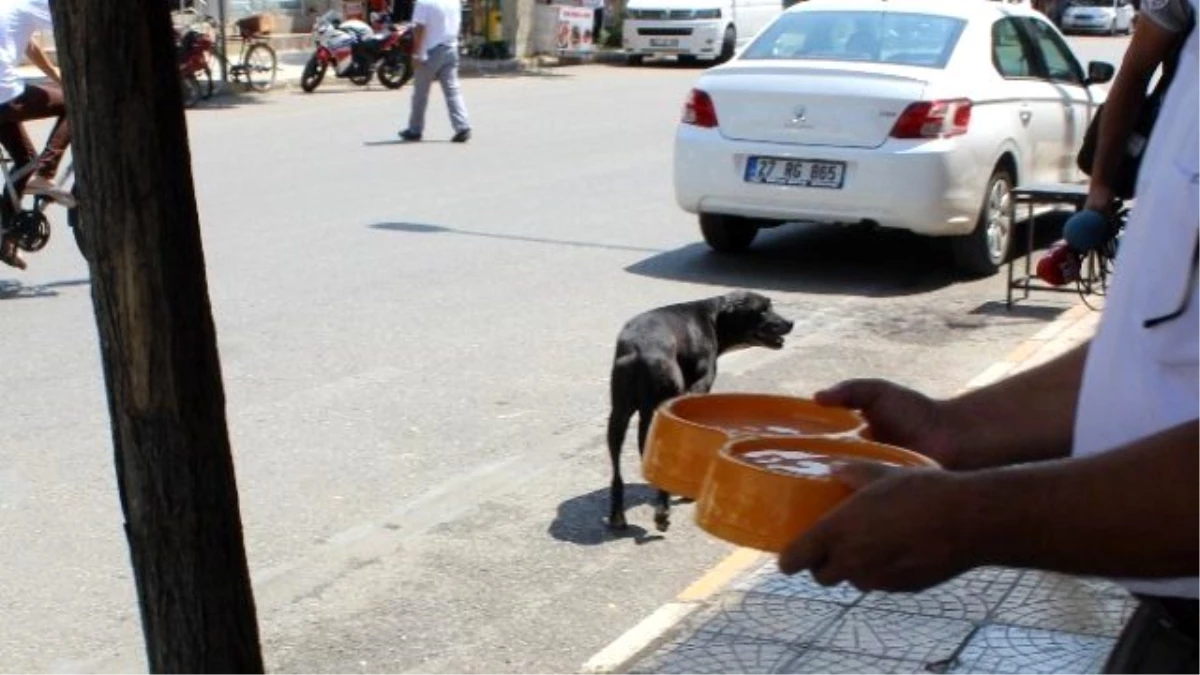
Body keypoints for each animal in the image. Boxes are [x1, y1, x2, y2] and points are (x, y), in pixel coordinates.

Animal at [604, 289, 792, 530]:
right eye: (762, 309)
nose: (790, 322)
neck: (715, 317)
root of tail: (639, 352)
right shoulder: (696, 391)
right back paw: (662, 512)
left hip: (618, 413)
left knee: (617, 471)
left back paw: (617, 515)